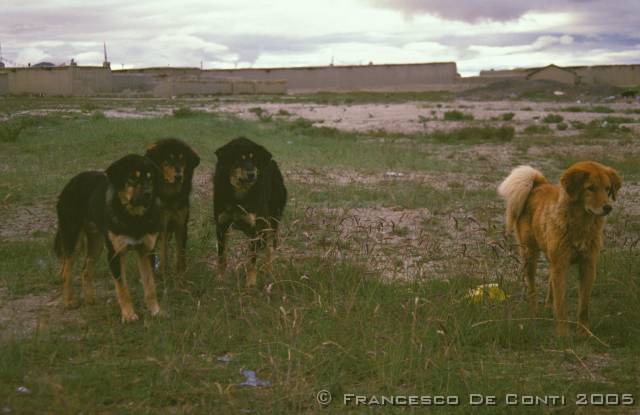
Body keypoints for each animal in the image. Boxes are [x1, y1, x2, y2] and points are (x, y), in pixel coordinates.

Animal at [54, 154, 162, 324]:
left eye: (150, 178)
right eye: (132, 178)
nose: (148, 194)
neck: (134, 218)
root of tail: (70, 183)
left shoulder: (147, 252)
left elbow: (150, 286)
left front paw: (155, 311)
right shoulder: (115, 254)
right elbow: (123, 289)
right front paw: (129, 315)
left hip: (96, 243)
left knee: (85, 270)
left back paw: (90, 299)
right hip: (73, 240)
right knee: (66, 271)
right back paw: (69, 301)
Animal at [145, 138, 200, 278]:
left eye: (182, 159)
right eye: (168, 159)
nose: (179, 176)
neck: (172, 196)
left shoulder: (181, 224)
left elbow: (180, 253)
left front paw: (180, 275)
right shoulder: (162, 225)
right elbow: (164, 252)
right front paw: (164, 275)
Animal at [214, 136, 286, 286]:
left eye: (254, 160)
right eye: (239, 159)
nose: (252, 174)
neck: (238, 196)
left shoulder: (254, 229)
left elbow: (252, 260)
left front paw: (250, 284)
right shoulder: (221, 225)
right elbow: (222, 257)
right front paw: (220, 279)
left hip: (271, 222)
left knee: (270, 248)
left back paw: (268, 271)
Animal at [500, 161, 620, 336]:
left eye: (607, 189)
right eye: (590, 188)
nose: (607, 207)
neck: (580, 225)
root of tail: (538, 185)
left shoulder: (588, 265)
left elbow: (584, 306)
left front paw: (584, 332)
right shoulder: (561, 265)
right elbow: (561, 304)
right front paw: (563, 334)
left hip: (552, 259)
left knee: (550, 284)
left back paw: (548, 308)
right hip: (530, 255)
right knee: (532, 289)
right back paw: (534, 314)